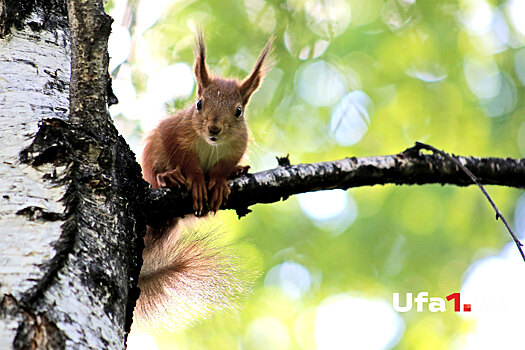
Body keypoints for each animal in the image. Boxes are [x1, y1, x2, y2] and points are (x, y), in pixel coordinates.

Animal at [133, 34, 272, 330]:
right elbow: (189, 165)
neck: (211, 145)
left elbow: (222, 169)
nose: (214, 129)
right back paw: (168, 178)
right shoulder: (176, 134)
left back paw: (237, 173)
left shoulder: (235, 148)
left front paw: (220, 180)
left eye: (239, 111)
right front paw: (196, 180)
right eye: (199, 104)